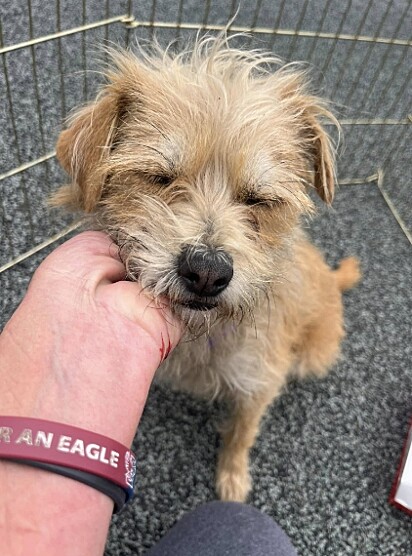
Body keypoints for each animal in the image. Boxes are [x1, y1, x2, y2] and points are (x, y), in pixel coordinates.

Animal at [52, 37, 360, 502]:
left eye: (259, 199)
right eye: (158, 177)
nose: (207, 272)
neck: (202, 336)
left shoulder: (261, 380)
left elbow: (242, 433)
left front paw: (232, 476)